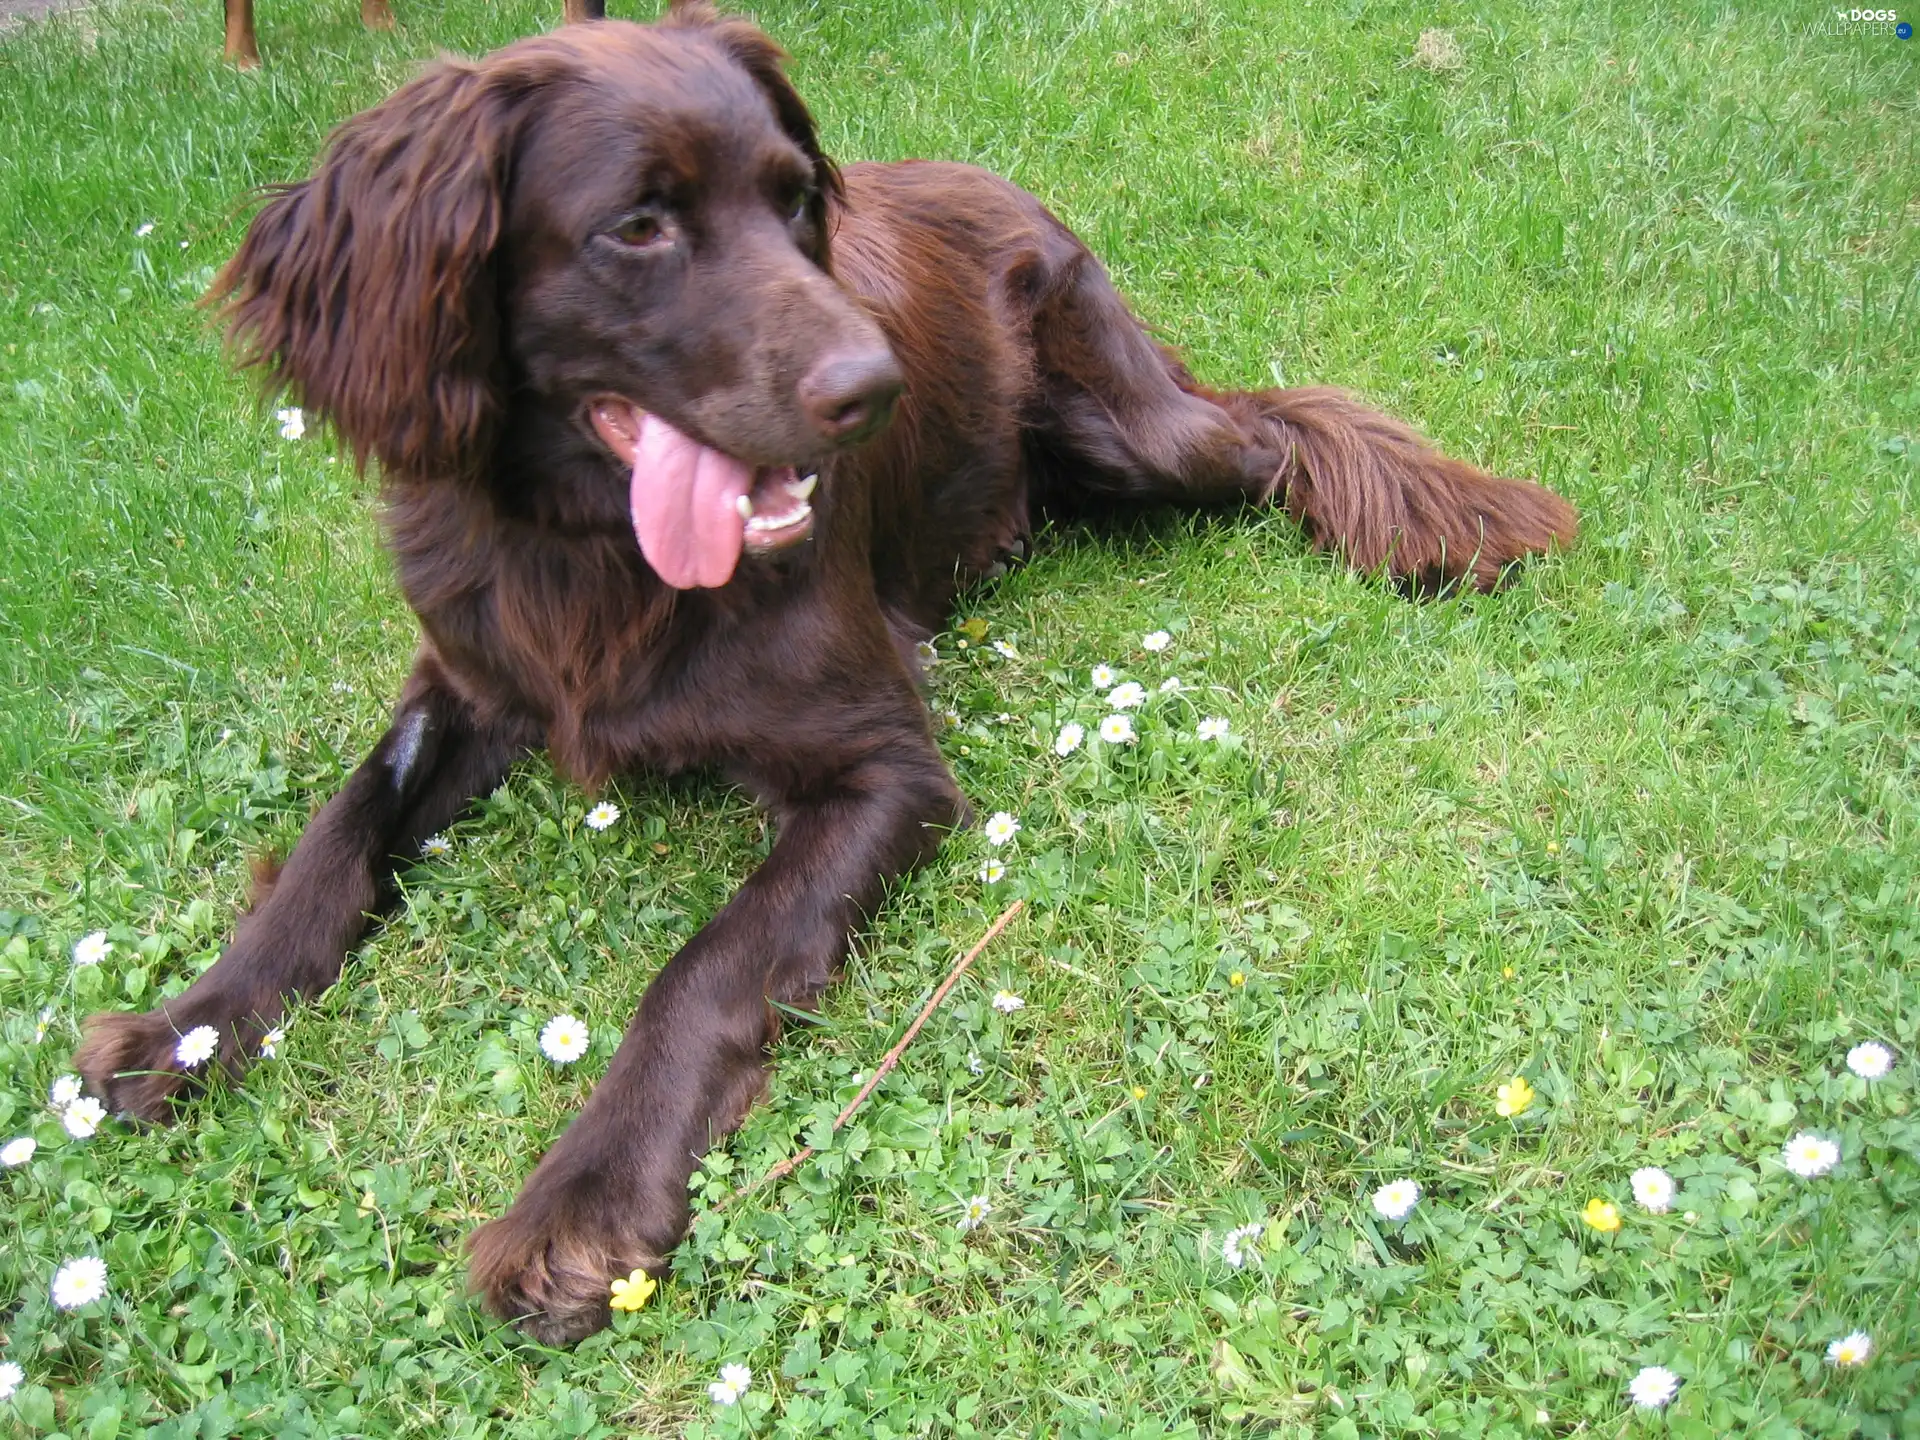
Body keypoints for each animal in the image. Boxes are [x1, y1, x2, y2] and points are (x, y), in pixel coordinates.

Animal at [74, 5, 1574, 1351]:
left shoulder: (882, 771)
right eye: (636, 225)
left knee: (1278, 433)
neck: (591, 548)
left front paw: (582, 1204)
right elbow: (340, 834)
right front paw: (190, 1026)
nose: (876, 385)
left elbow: (704, 968)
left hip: (1130, 428)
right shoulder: (466, 676)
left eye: (796, 202)